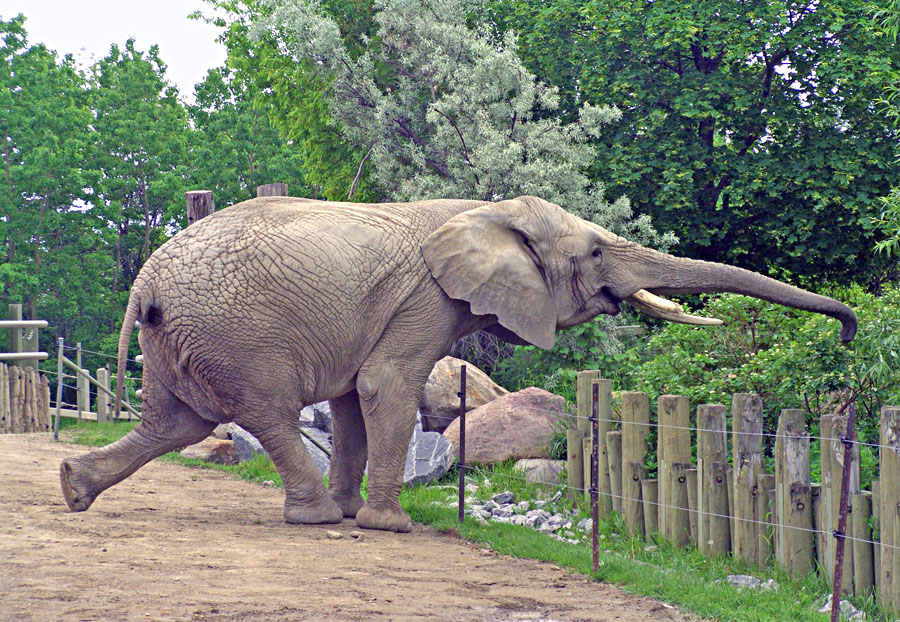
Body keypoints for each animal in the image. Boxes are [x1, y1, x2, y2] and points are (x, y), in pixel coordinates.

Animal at [58, 197, 856, 532]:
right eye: (598, 251)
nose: (850, 335)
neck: (486, 208)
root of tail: (144, 282)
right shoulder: (426, 299)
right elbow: (384, 385)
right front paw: (386, 526)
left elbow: (352, 398)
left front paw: (361, 515)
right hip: (235, 332)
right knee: (263, 413)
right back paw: (313, 518)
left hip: (186, 337)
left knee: (176, 423)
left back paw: (73, 488)